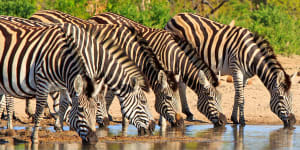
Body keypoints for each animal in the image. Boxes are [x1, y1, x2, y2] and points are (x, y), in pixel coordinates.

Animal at [0, 17, 154, 143]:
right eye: (143, 102)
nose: (152, 127)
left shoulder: (67, 79)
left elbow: (64, 102)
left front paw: (60, 126)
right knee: (9, 100)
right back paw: (10, 127)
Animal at [88, 12, 226, 126]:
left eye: (221, 98)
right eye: (210, 98)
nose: (224, 121)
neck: (173, 54)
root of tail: (94, 16)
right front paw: (163, 122)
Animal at [165, 13, 296, 127]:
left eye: (292, 98)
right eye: (281, 98)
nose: (294, 121)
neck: (251, 55)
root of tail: (175, 16)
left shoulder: (245, 75)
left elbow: (238, 95)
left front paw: (234, 118)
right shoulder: (236, 69)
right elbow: (241, 97)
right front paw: (242, 121)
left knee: (182, 83)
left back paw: (188, 113)